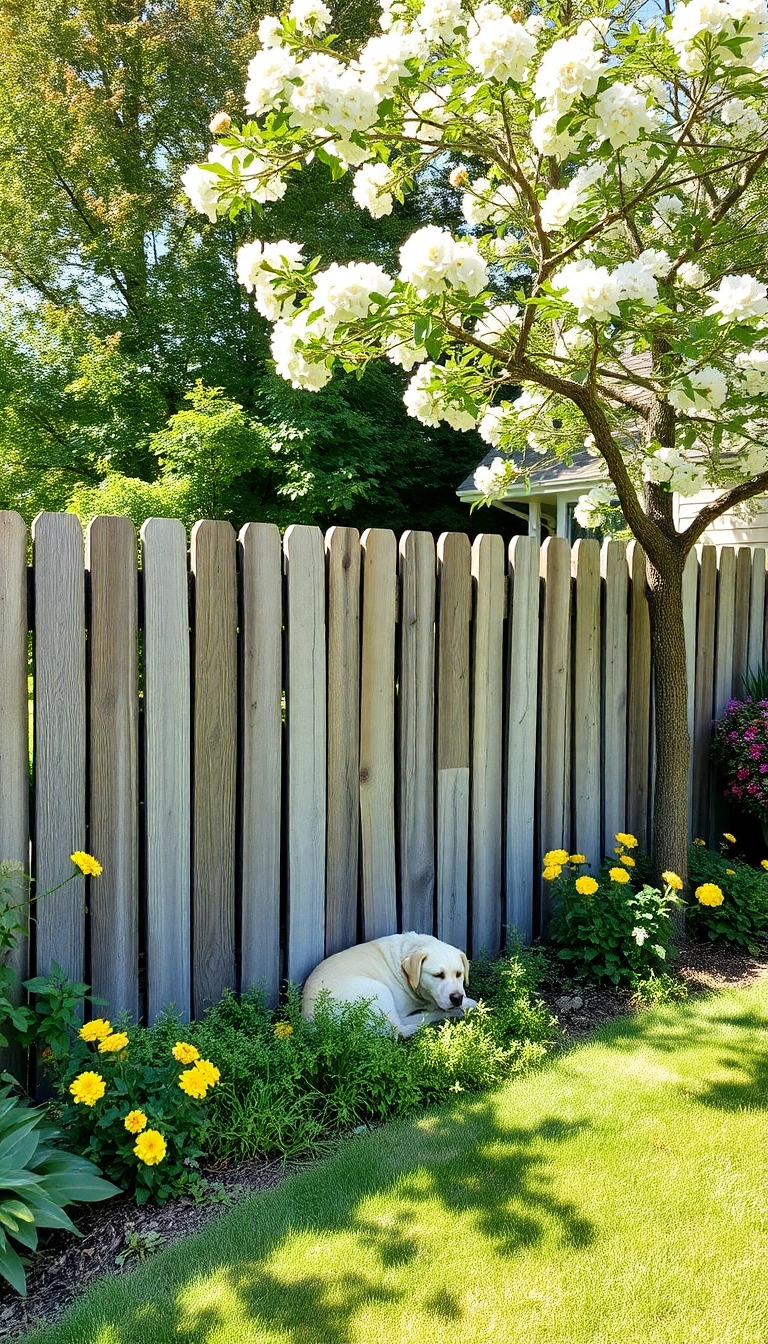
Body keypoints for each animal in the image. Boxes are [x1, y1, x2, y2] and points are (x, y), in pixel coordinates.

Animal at [298, 935, 476, 1037]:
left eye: (459, 974)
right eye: (438, 975)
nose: (457, 998)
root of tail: (314, 1023)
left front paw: (467, 1002)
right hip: (380, 990)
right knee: (400, 1029)